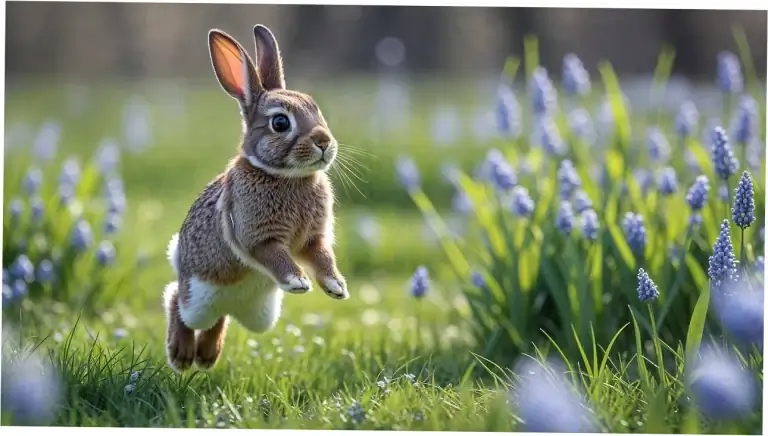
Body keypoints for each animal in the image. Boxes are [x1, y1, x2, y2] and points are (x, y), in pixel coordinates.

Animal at [163, 24, 349, 373]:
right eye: (280, 122)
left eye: (316, 110)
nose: (324, 141)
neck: (287, 177)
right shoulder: (256, 236)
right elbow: (275, 255)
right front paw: (298, 282)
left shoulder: (314, 239)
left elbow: (322, 256)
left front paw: (336, 287)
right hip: (198, 297)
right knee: (176, 300)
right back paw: (182, 355)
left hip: (260, 317)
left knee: (220, 318)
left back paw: (207, 356)